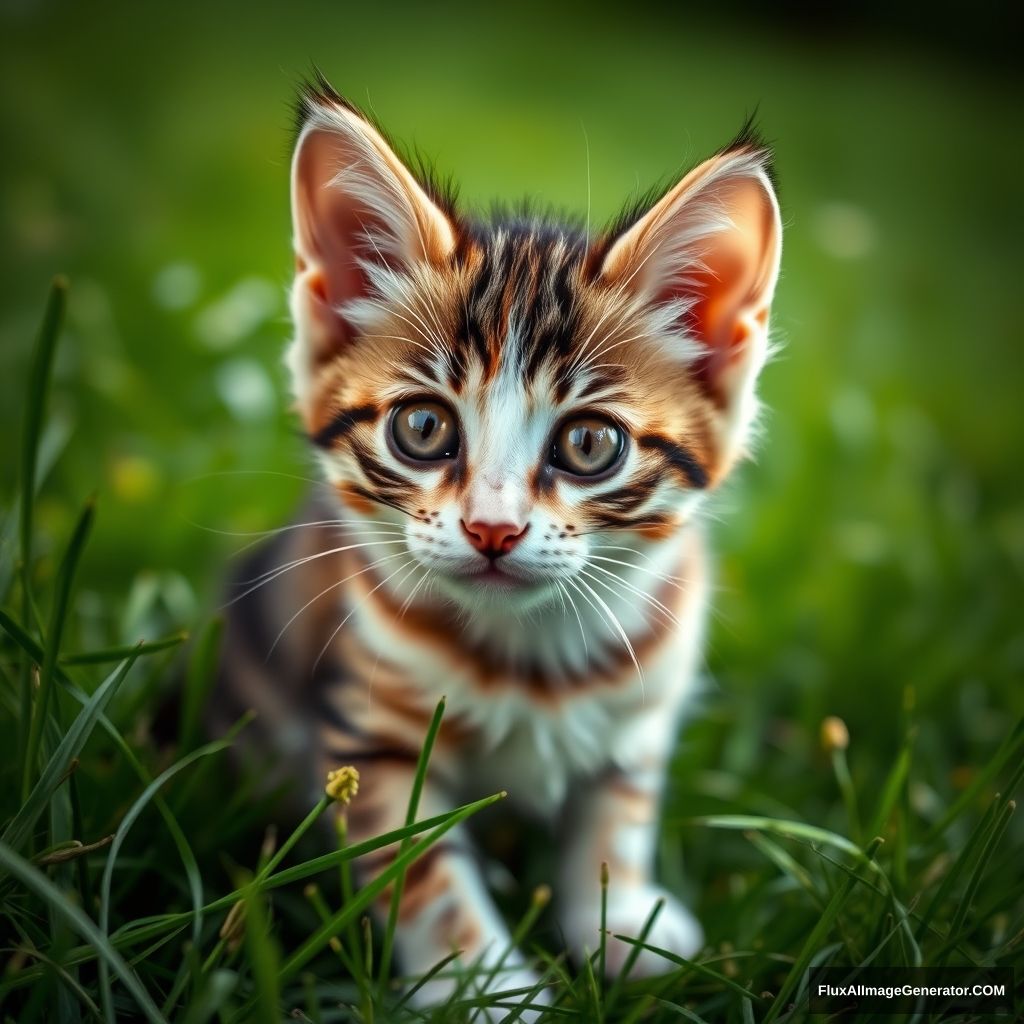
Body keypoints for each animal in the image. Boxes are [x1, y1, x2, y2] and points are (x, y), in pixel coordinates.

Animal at [211, 77, 778, 1007]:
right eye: (423, 428)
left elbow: (616, 815)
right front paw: (484, 990)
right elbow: (423, 875)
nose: (492, 528)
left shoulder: (644, 704)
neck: (531, 657)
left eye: (589, 443)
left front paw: (623, 923)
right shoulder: (373, 734)